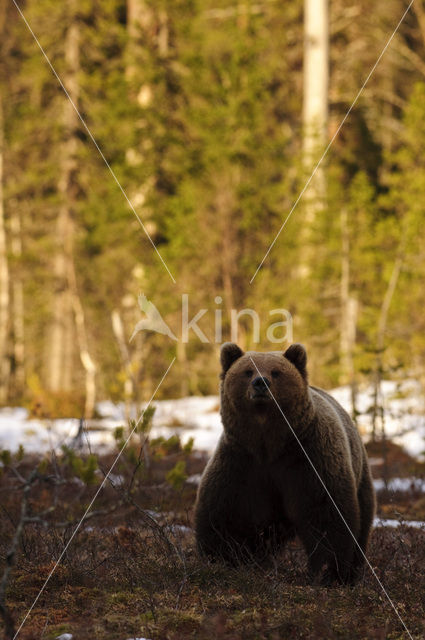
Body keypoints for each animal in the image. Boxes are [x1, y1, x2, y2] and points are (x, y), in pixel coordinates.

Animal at [194, 344, 372, 584]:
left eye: (276, 372)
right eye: (247, 371)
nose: (260, 382)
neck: (269, 444)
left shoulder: (308, 459)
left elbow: (326, 514)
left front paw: (328, 572)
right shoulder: (240, 463)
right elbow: (225, 514)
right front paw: (222, 558)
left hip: (360, 477)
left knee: (361, 524)